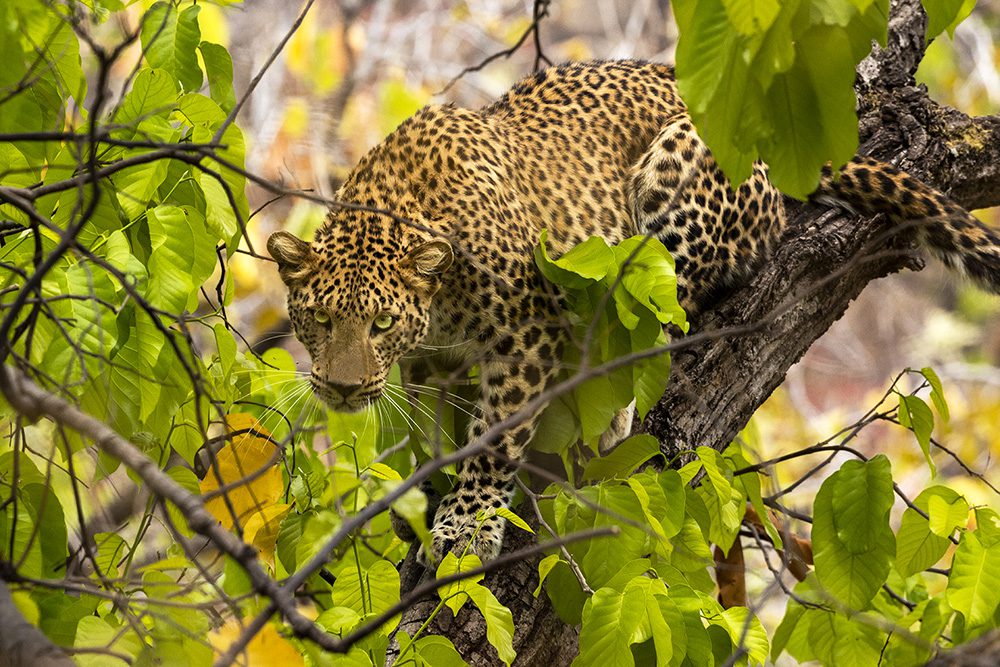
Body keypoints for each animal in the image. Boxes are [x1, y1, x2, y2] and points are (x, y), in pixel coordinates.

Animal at [267, 60, 1000, 566]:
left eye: (380, 323)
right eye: (320, 320)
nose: (341, 387)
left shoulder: (523, 335)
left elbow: (492, 441)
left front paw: (463, 528)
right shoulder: (426, 367)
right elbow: (434, 437)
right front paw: (423, 505)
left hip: (671, 186)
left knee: (669, 312)